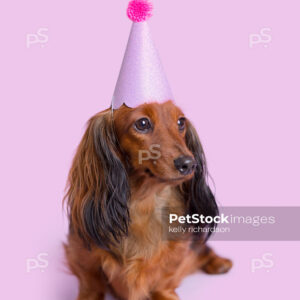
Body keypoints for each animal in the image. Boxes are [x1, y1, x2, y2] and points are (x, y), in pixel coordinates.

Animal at [64, 101, 233, 300]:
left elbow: (164, 280)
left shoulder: (177, 252)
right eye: (142, 123)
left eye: (181, 122)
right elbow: (90, 282)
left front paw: (166, 295)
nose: (189, 164)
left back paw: (219, 263)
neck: (144, 202)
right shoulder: (82, 252)